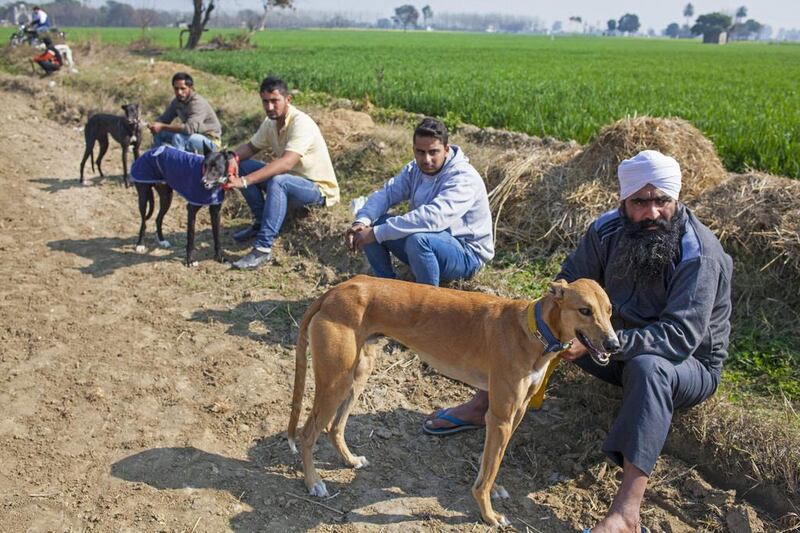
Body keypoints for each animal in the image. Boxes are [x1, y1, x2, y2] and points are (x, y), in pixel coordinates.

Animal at [288, 274, 620, 524]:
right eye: (585, 310)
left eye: (610, 310)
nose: (614, 345)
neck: (531, 329)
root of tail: (335, 290)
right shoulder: (500, 416)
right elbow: (487, 473)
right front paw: (489, 515)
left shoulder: (517, 413)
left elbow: (491, 464)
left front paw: (494, 490)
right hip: (335, 381)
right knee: (306, 434)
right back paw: (313, 482)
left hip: (358, 375)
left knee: (334, 427)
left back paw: (350, 459)